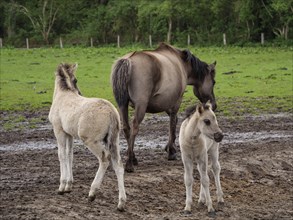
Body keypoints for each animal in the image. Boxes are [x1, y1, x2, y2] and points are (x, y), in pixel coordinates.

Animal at [48, 63, 125, 211]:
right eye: (75, 79)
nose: (80, 93)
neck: (63, 95)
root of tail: (111, 111)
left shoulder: (59, 130)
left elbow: (61, 155)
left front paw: (62, 186)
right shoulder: (69, 134)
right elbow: (70, 155)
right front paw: (69, 185)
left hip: (91, 141)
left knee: (105, 159)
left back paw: (92, 193)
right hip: (114, 140)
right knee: (118, 164)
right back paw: (121, 202)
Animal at [110, 43, 216, 173]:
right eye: (214, 82)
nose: (214, 104)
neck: (182, 63)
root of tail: (128, 60)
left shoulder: (166, 103)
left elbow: (174, 121)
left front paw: (171, 147)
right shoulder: (176, 102)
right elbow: (172, 124)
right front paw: (171, 151)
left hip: (122, 105)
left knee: (126, 129)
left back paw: (133, 158)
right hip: (140, 106)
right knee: (134, 128)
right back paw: (129, 163)